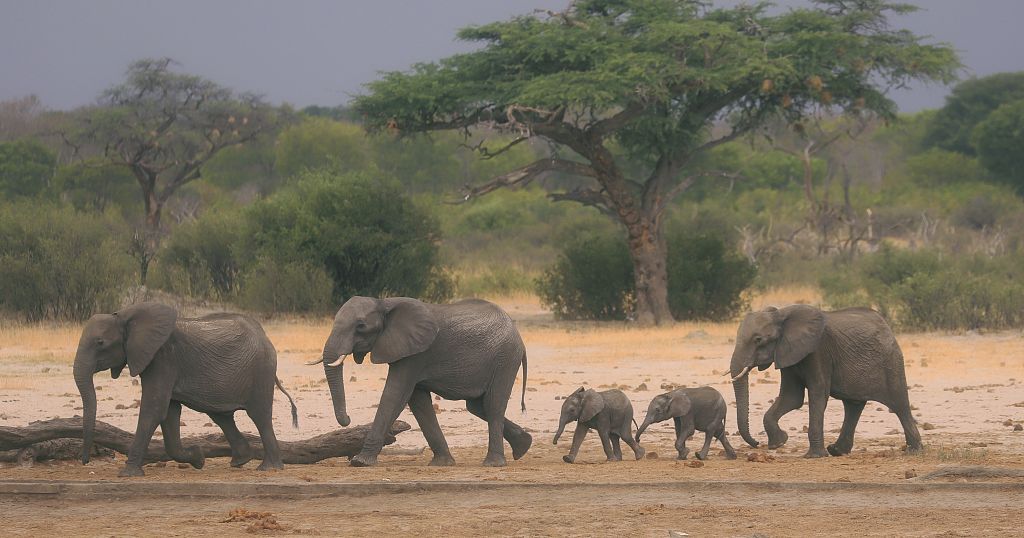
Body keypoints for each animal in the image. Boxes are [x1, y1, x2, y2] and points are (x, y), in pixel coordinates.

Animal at [73, 302, 298, 476]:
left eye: (100, 343)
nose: (86, 461)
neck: (125, 316)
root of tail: (265, 335)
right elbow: (169, 413)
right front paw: (198, 458)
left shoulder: (163, 358)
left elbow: (154, 410)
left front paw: (127, 474)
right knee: (221, 416)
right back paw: (240, 461)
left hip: (261, 370)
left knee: (259, 416)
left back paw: (269, 468)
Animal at [310, 296, 532, 467]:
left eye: (361, 326)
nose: (347, 419)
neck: (385, 303)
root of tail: (519, 337)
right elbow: (418, 402)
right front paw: (442, 463)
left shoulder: (416, 355)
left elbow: (395, 395)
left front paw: (360, 462)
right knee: (477, 406)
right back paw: (523, 446)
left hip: (504, 359)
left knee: (493, 405)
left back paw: (493, 463)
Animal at [729, 304, 922, 458]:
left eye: (758, 340)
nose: (756, 443)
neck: (782, 314)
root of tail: (887, 326)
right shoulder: (788, 353)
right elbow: (792, 397)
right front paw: (779, 442)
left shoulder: (818, 351)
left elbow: (817, 393)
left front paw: (813, 456)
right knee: (853, 405)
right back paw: (837, 451)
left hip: (890, 361)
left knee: (899, 403)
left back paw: (914, 450)